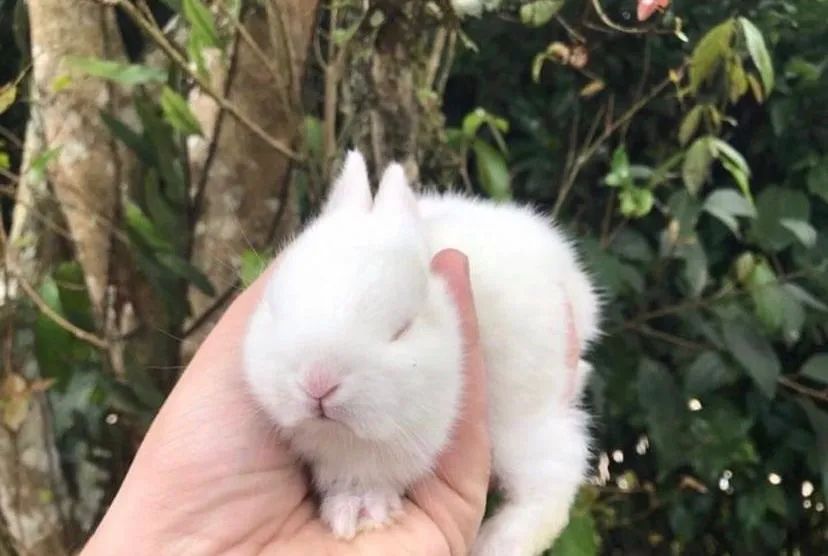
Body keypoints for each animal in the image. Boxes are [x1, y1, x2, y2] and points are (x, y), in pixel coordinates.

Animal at [243, 150, 601, 555]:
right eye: (272, 309)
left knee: (555, 475)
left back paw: (496, 541)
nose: (318, 383)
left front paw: (366, 509)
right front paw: (349, 512)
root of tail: (573, 282)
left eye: (403, 328)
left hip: (526, 411)